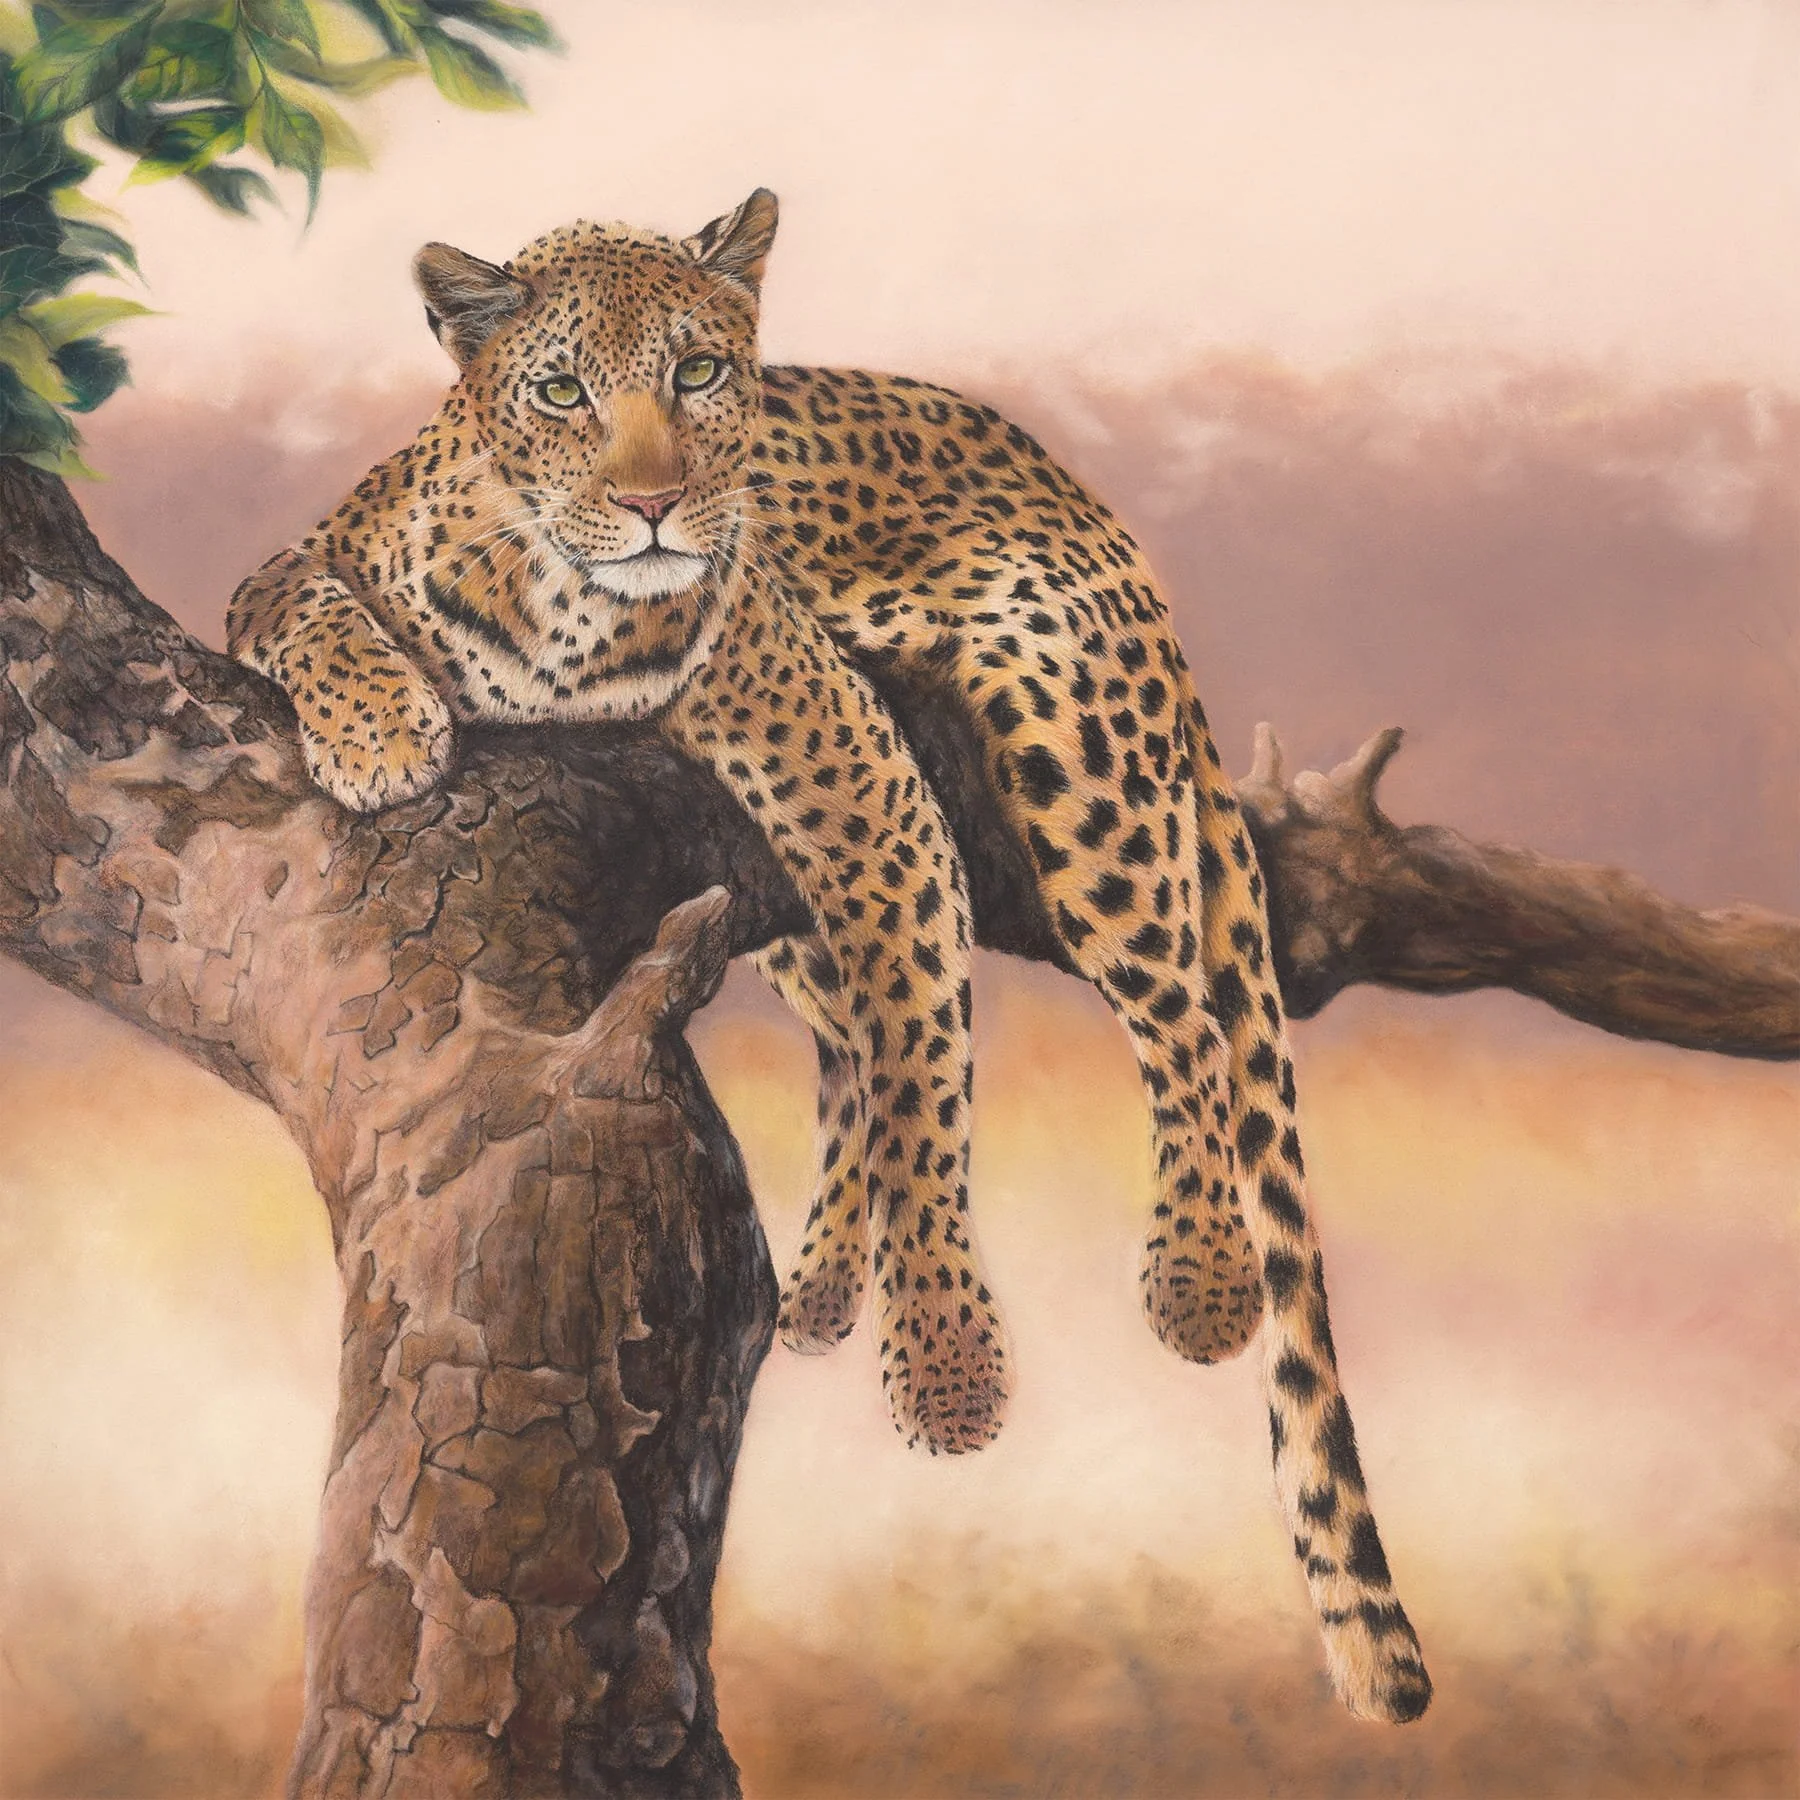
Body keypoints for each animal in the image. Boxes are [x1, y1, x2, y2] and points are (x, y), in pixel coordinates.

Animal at [227, 191, 1432, 1724]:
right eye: (560, 391)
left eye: (697, 373)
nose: (653, 504)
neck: (564, 611)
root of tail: (1094, 506)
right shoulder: (296, 564)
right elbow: (313, 606)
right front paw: (382, 733)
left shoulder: (867, 787)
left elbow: (930, 1076)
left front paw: (950, 1381)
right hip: (790, 898)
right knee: (850, 1033)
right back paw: (818, 1290)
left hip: (1077, 751)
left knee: (1178, 1020)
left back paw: (1202, 1278)